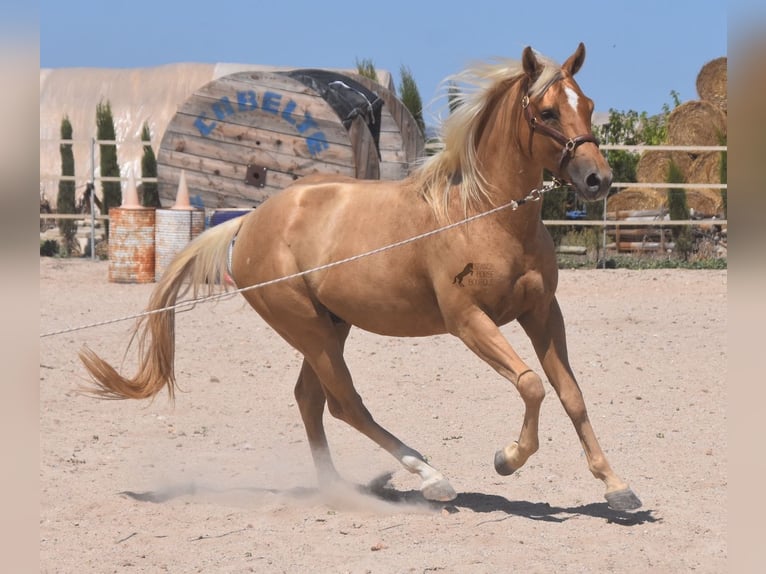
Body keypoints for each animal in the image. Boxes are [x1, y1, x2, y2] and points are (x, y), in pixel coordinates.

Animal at [79, 45, 640, 512]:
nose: (598, 179)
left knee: (311, 400)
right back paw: (430, 479)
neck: (483, 214)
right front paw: (508, 458)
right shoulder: (468, 321)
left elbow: (570, 393)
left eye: (588, 104)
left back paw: (338, 488)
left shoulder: (541, 313)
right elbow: (531, 385)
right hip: (307, 327)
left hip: (331, 325)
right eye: (546, 113)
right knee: (346, 404)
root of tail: (250, 221)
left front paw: (617, 486)